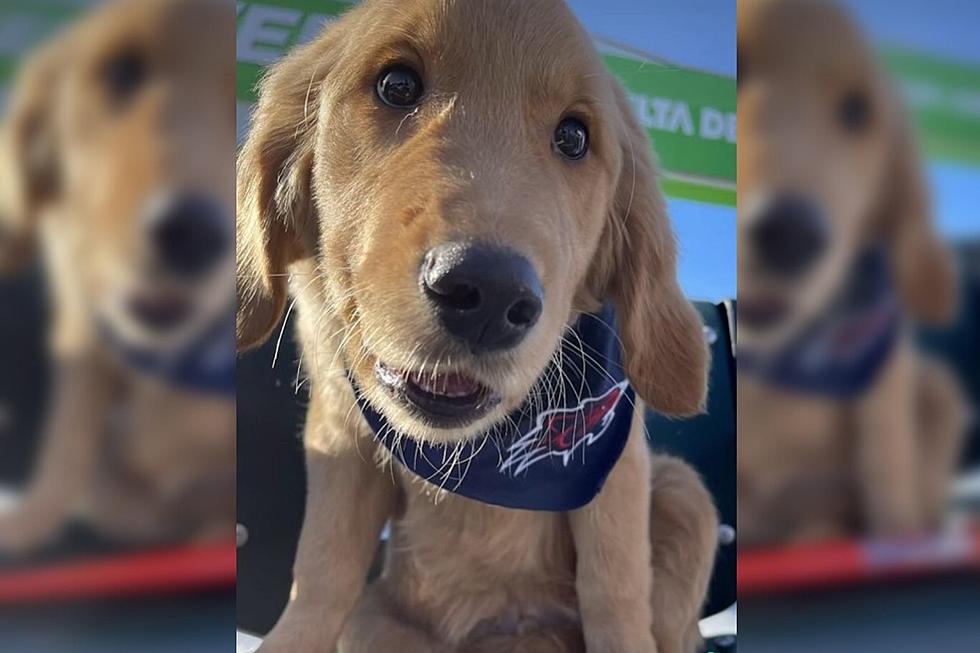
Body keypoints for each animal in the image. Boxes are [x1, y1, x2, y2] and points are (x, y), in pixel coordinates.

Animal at [234, 1, 716, 652]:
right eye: (396, 85)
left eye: (574, 136)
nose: (488, 295)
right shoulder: (339, 434)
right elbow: (321, 567)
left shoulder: (619, 468)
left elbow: (615, 588)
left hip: (683, 491)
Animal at [736, 0, 964, 544]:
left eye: (857, 112)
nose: (789, 234)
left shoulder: (885, 372)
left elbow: (886, 471)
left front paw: (896, 537)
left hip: (939, 388)